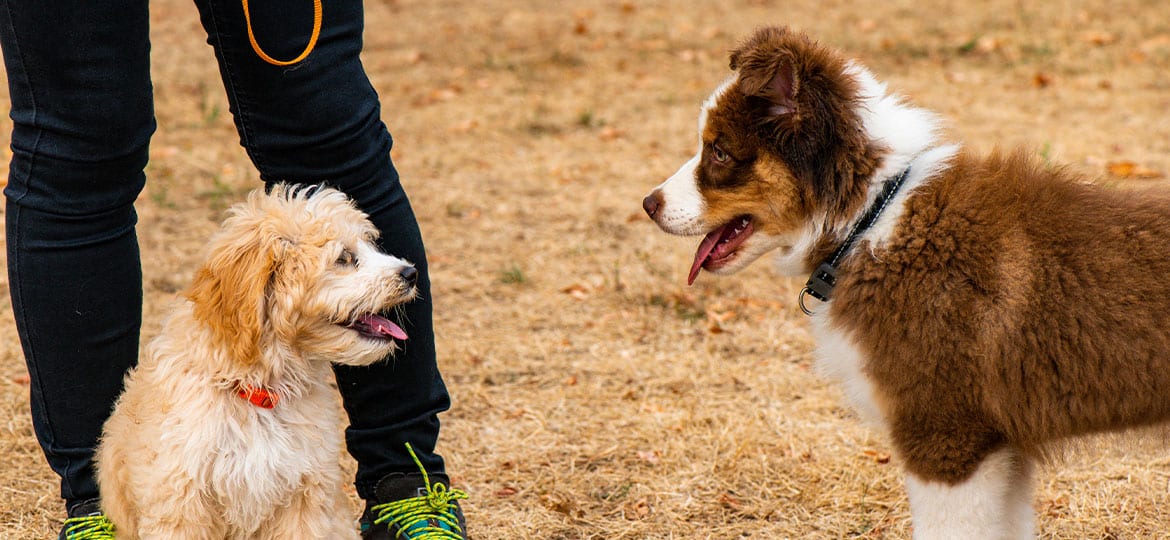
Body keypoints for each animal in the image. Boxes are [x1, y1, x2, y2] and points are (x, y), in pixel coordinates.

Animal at [98, 183, 421, 537]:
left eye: (369, 244)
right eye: (345, 258)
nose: (411, 272)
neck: (257, 390)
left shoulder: (304, 499)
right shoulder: (179, 503)